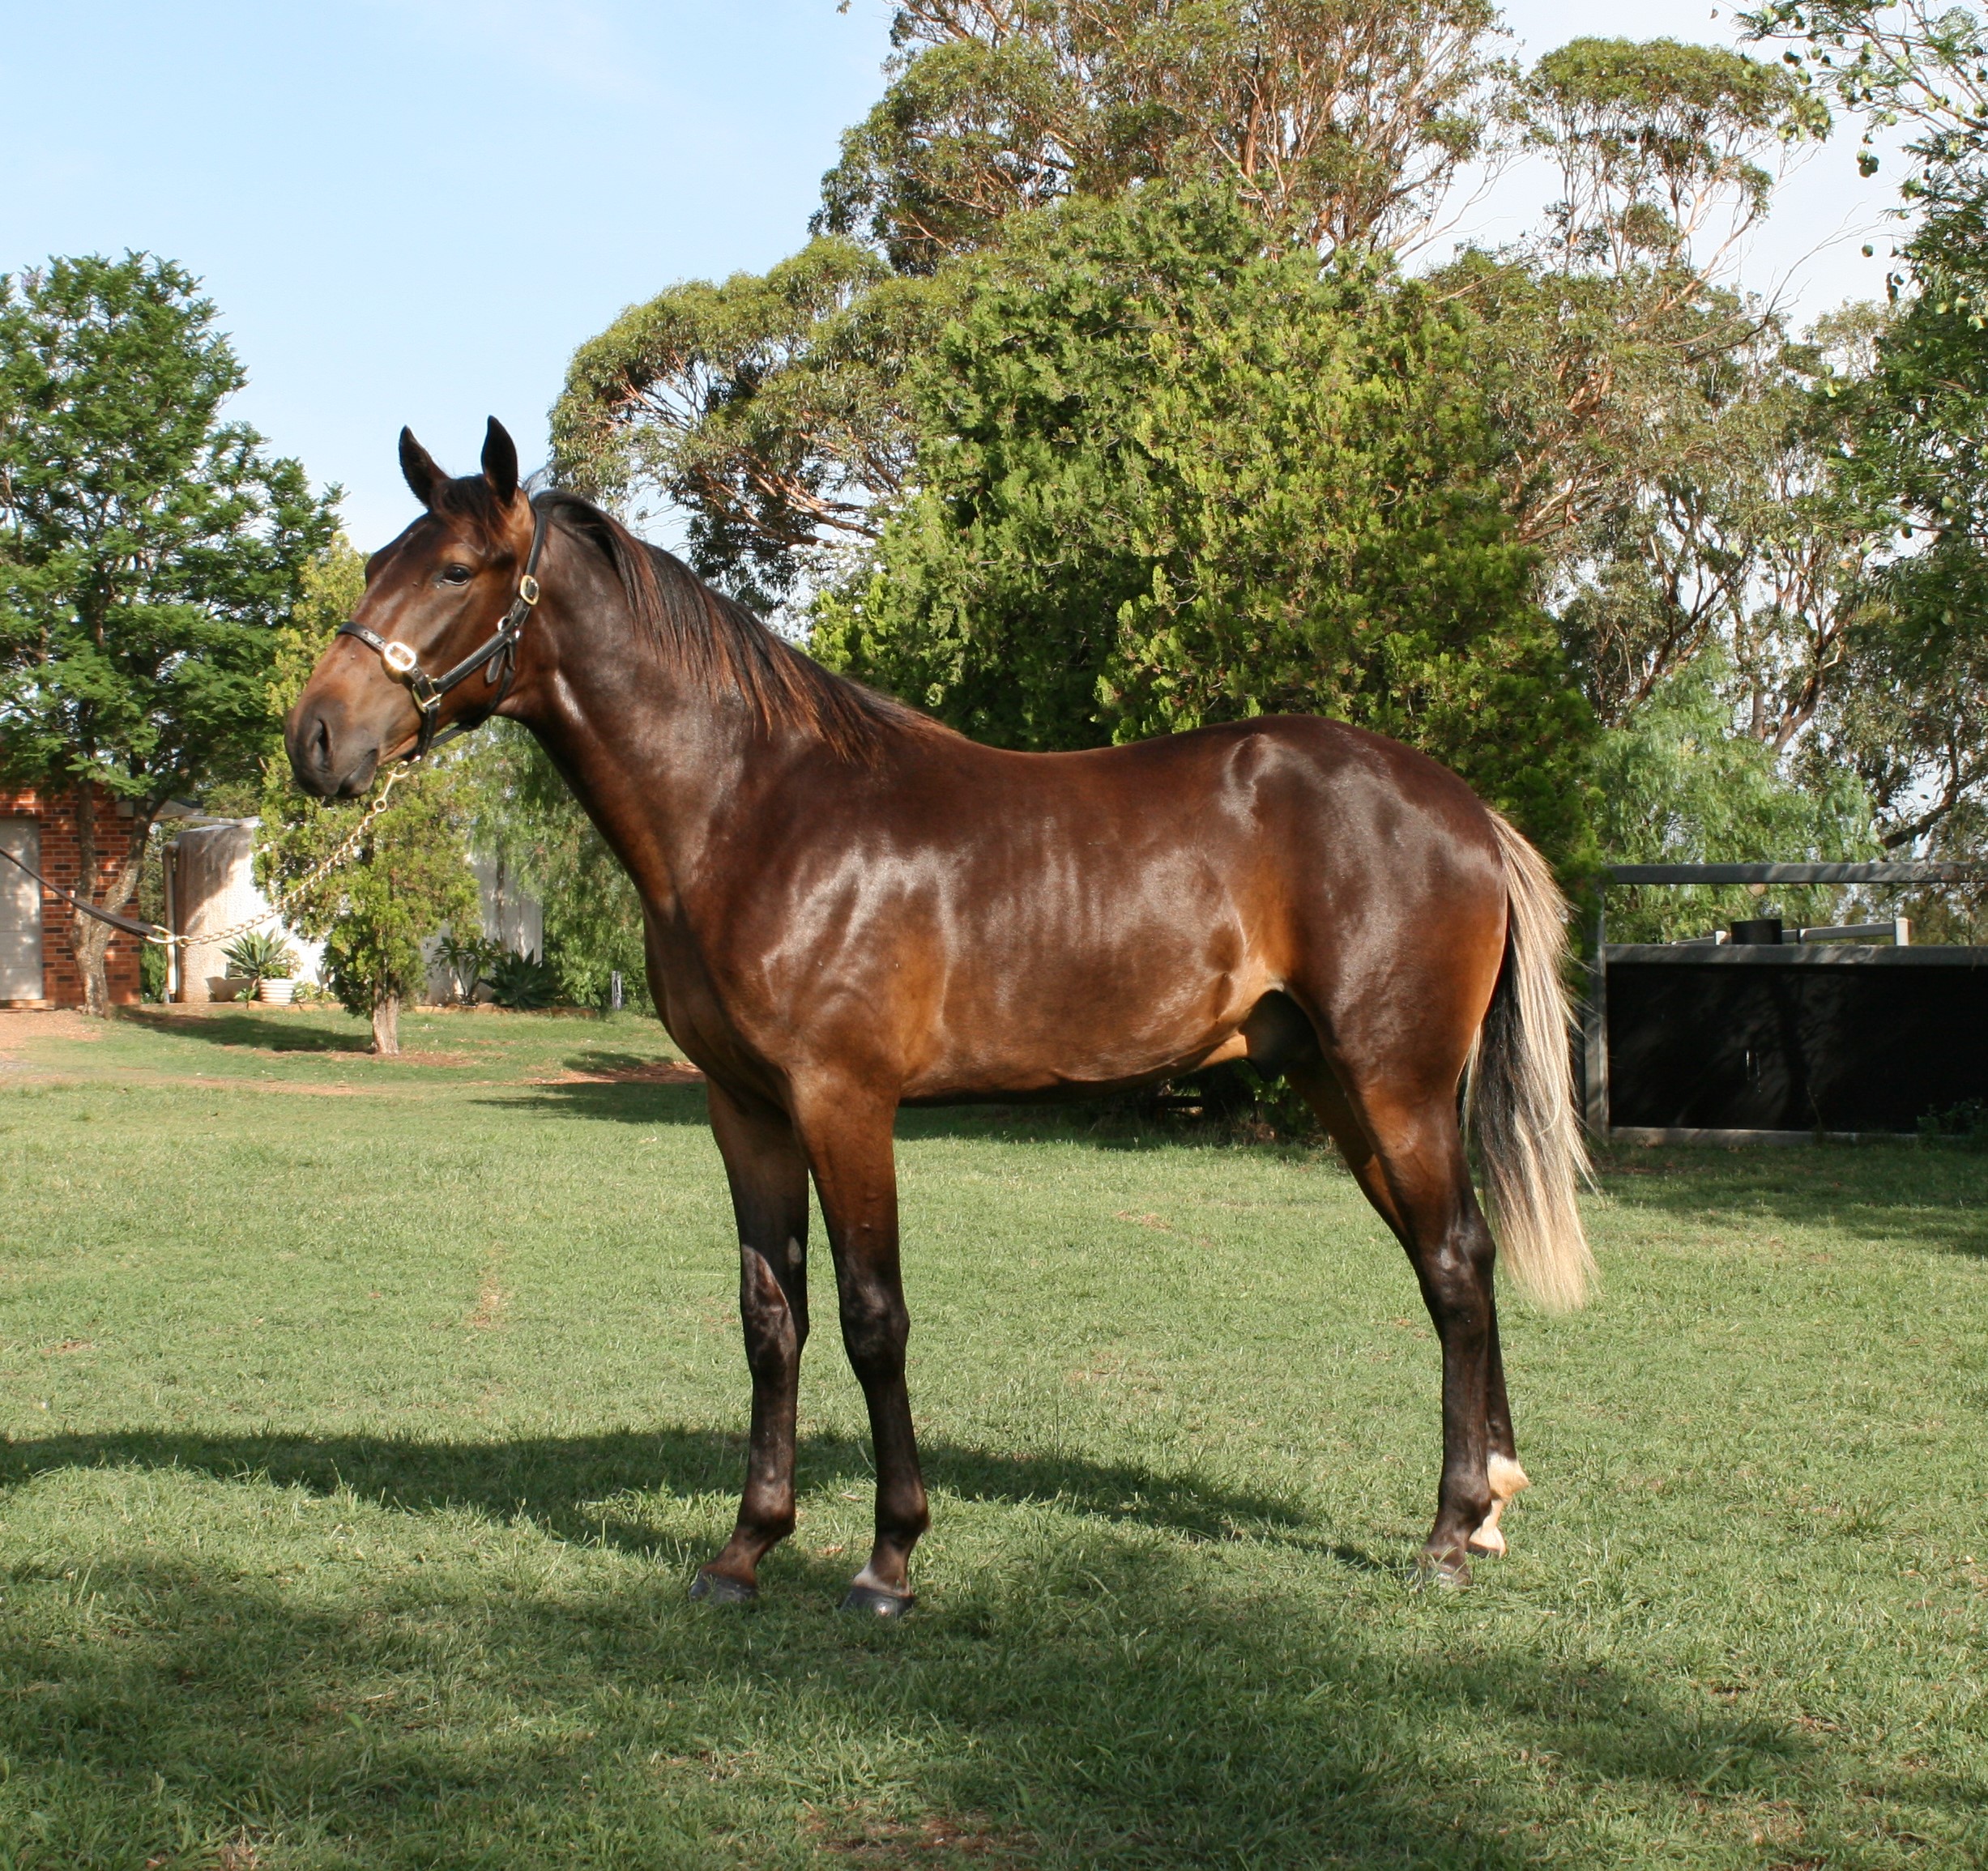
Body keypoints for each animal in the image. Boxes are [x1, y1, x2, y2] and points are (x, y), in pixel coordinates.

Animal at [286, 418, 1593, 1613]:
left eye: (457, 571)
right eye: (378, 561)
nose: (316, 738)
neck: (754, 808)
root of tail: (1465, 811)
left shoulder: (845, 1102)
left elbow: (873, 1318)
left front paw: (889, 1558)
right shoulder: (745, 1109)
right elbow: (770, 1317)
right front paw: (745, 1549)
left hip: (1394, 1082)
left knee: (1454, 1263)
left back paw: (1446, 1532)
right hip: (1337, 1083)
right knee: (1452, 1260)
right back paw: (1489, 1506)